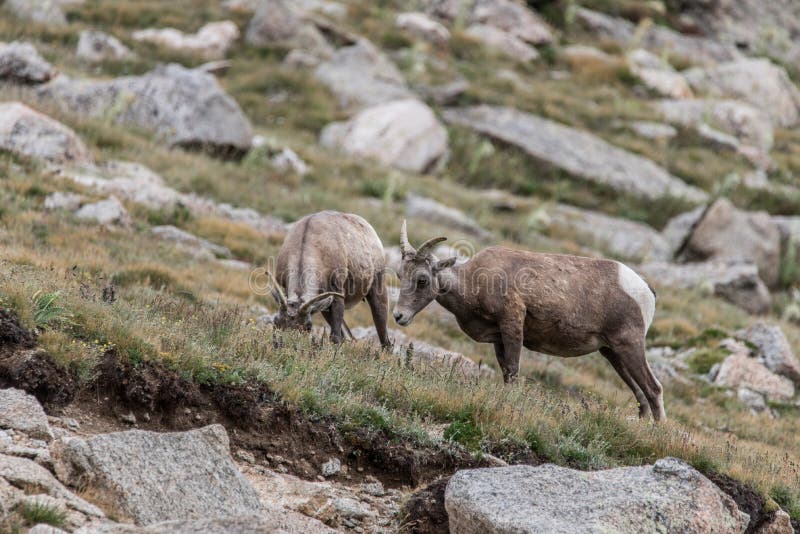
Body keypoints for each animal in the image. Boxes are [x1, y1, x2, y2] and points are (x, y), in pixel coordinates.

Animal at [268, 209, 390, 348]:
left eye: (308, 327)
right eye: (276, 321)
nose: (284, 345)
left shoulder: (337, 292)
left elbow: (336, 337)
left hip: (378, 286)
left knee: (385, 336)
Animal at [390, 222, 664, 422]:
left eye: (423, 279)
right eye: (400, 274)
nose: (399, 316)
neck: (475, 282)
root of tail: (645, 290)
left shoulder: (512, 326)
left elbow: (513, 372)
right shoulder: (499, 340)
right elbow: (506, 373)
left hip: (629, 346)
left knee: (654, 388)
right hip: (612, 352)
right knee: (641, 394)